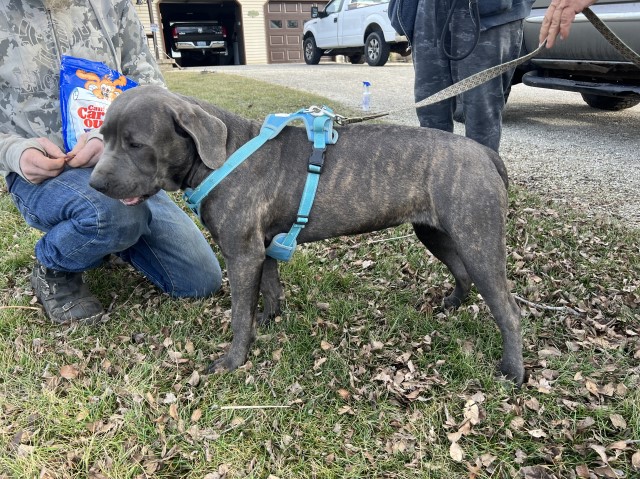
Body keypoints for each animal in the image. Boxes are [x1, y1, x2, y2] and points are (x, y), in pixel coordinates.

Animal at [87, 85, 524, 386]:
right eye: (103, 136)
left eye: (136, 144)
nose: (94, 183)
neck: (220, 154)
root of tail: (486, 154)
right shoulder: (261, 249)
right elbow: (269, 289)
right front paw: (269, 319)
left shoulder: (241, 254)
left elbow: (239, 315)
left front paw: (234, 360)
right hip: (437, 233)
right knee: (462, 273)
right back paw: (451, 304)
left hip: (479, 241)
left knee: (509, 310)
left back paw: (513, 371)